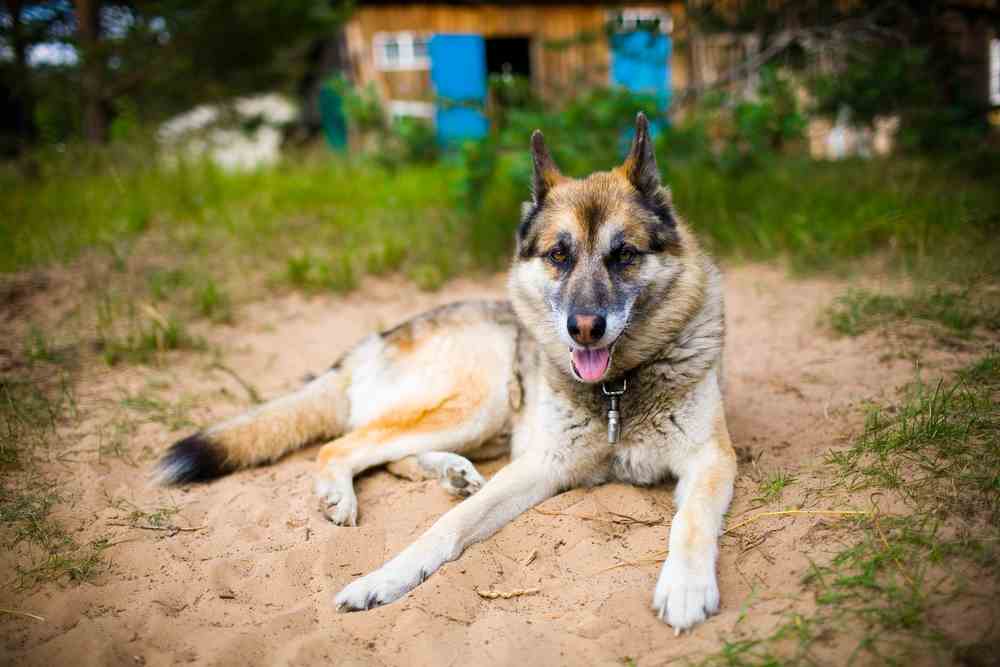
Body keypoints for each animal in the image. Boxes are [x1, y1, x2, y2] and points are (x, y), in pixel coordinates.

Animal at [154, 116, 736, 636]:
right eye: (558, 255)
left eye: (624, 255)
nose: (585, 328)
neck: (617, 390)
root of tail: (373, 341)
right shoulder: (541, 466)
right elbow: (447, 526)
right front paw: (383, 579)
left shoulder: (711, 460)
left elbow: (691, 521)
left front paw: (686, 587)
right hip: (480, 401)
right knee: (344, 446)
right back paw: (355, 492)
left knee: (385, 453)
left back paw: (448, 472)